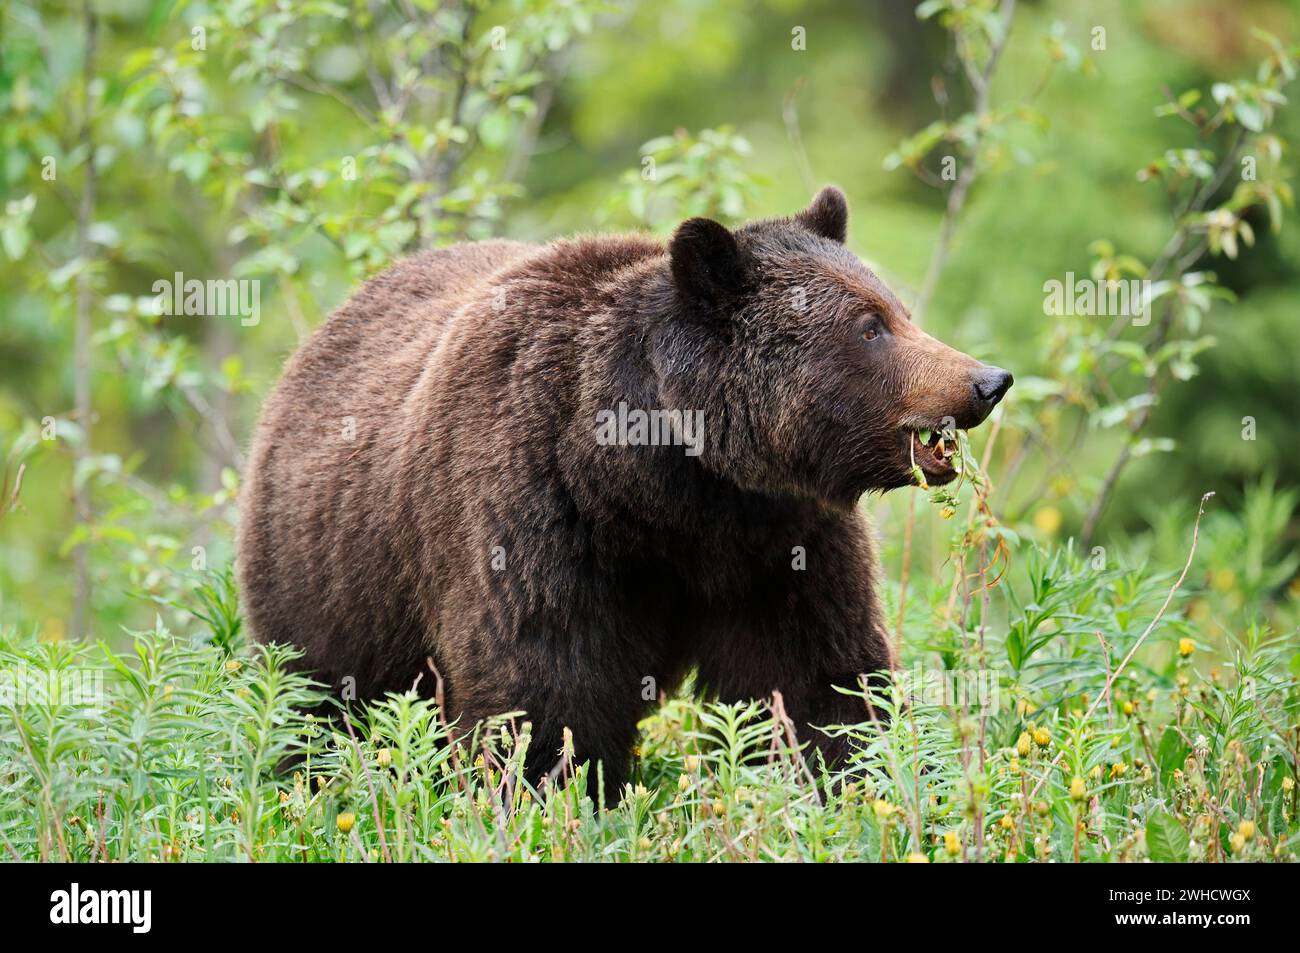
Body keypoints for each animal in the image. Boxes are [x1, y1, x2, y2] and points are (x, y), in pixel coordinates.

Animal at [244, 185, 1013, 795]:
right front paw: (550, 794)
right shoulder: (532, 513)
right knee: (318, 696)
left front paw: (849, 778)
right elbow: (542, 689)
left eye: (897, 309)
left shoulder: (782, 542)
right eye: (869, 326)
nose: (986, 380)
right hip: (331, 575)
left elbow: (816, 674)